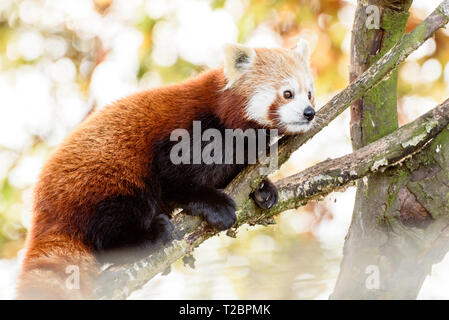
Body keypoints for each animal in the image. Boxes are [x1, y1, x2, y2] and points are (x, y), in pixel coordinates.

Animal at [16, 40, 316, 300]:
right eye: (287, 94)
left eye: (309, 93)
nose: (310, 112)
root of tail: (44, 212)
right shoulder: (191, 133)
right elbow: (174, 179)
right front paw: (213, 203)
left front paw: (263, 189)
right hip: (103, 181)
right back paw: (149, 233)